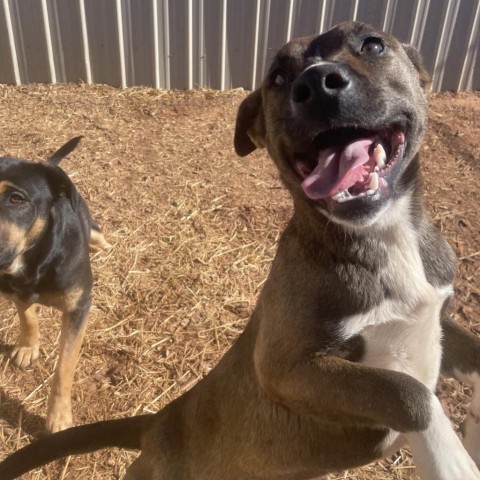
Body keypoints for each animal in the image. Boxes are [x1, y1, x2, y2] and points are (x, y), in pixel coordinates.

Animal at [0, 138, 107, 436]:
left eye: (16, 199)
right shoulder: (12, 289)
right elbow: (26, 315)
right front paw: (28, 346)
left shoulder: (79, 307)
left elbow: (65, 367)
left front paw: (59, 416)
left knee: (97, 231)